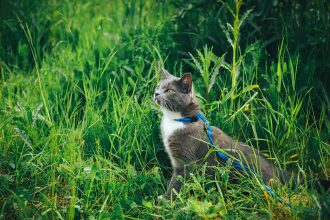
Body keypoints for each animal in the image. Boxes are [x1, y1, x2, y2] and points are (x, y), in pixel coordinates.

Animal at [153, 67, 328, 199]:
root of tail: (277, 170)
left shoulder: (185, 161)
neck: (178, 120)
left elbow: (176, 184)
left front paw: (164, 201)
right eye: (157, 86)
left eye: (169, 90)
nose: (155, 93)